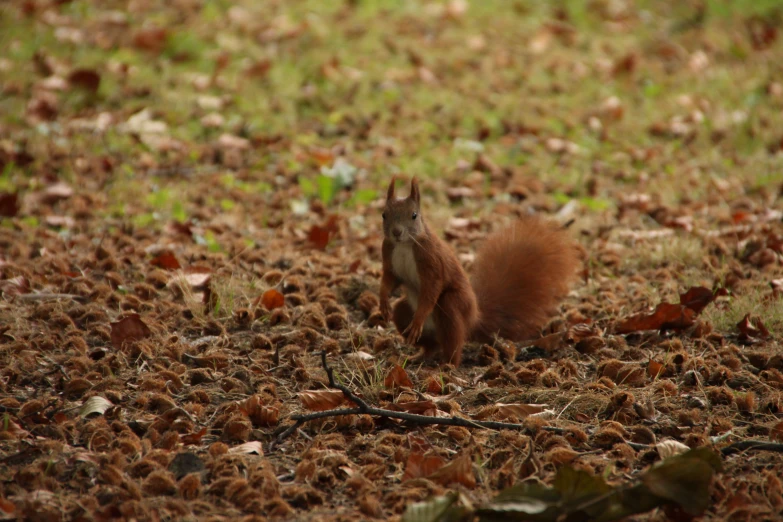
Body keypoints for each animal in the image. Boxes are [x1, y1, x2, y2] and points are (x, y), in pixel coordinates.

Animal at [380, 177, 580, 364]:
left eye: (414, 215)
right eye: (383, 214)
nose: (396, 232)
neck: (404, 245)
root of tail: (474, 317)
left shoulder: (432, 260)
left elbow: (432, 288)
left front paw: (418, 319)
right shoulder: (388, 254)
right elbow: (390, 279)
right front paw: (383, 304)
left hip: (453, 305)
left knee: (452, 339)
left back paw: (448, 364)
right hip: (404, 312)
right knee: (430, 342)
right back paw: (421, 355)